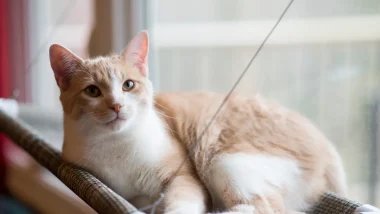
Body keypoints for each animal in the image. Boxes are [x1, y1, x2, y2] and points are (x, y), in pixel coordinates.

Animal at [49, 30, 348, 214]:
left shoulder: (183, 177)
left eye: (128, 85)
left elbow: (181, 204)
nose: (117, 105)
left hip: (223, 160)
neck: (116, 147)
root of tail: (322, 140)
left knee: (265, 208)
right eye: (92, 91)